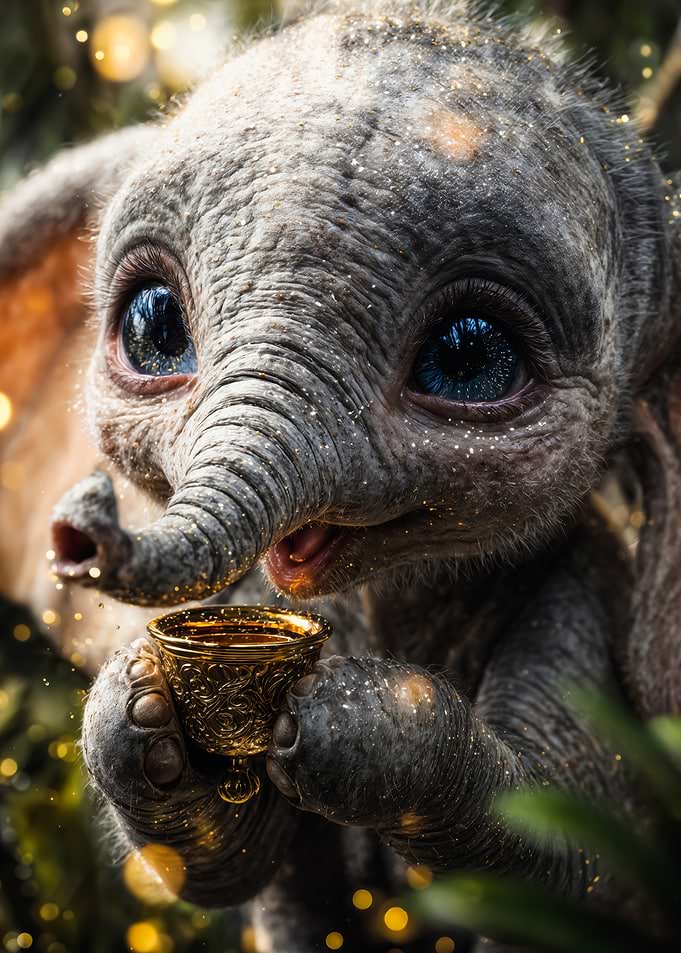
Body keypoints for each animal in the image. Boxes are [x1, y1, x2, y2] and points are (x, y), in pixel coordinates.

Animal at [2, 1, 681, 950]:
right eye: (153, 325)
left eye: (468, 356)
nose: (81, 528)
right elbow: (232, 868)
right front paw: (140, 700)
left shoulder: (586, 588)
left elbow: (575, 851)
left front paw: (340, 716)